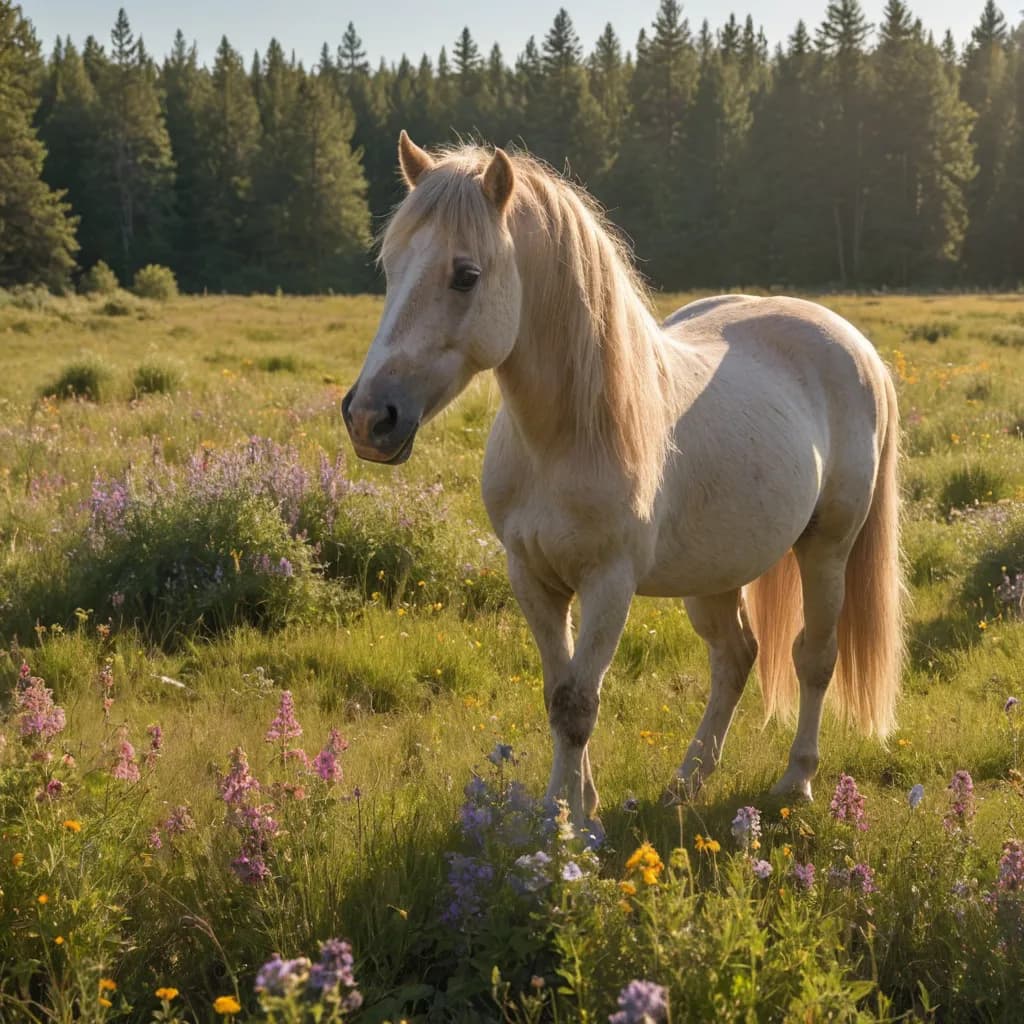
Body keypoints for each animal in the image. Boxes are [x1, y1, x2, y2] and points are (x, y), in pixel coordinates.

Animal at [342, 132, 903, 827]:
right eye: (390, 267)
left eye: (465, 274)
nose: (369, 418)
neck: (562, 441)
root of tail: (855, 344)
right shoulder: (531, 576)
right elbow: (559, 694)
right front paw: (578, 807)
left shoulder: (609, 583)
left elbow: (579, 704)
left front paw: (566, 827)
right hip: (716, 570)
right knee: (735, 657)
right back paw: (686, 783)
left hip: (826, 547)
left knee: (814, 657)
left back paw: (795, 780)